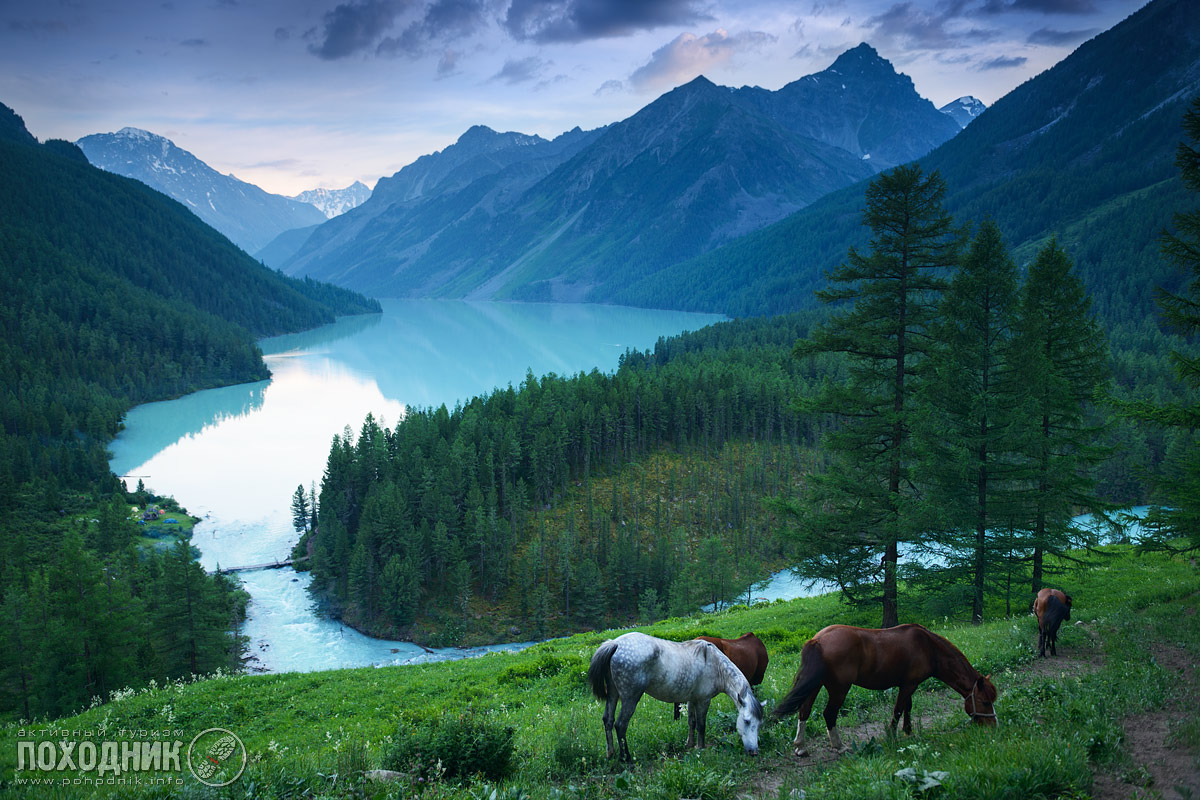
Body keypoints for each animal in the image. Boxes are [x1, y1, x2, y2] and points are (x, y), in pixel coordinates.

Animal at [585, 633, 763, 762]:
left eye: (759, 724)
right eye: (747, 721)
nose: (754, 752)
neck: (715, 664)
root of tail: (615, 643)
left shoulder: (692, 699)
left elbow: (691, 722)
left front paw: (690, 744)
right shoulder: (703, 700)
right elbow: (701, 725)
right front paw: (701, 747)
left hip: (613, 694)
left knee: (608, 720)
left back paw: (611, 753)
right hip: (630, 698)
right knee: (620, 725)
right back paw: (626, 758)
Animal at [772, 623, 998, 758]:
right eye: (985, 702)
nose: (993, 726)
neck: (928, 647)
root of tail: (818, 639)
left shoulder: (907, 684)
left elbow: (907, 707)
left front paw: (908, 731)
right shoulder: (909, 685)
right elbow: (899, 709)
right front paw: (892, 734)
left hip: (815, 685)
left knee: (804, 711)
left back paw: (801, 746)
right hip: (839, 689)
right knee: (829, 714)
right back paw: (839, 746)